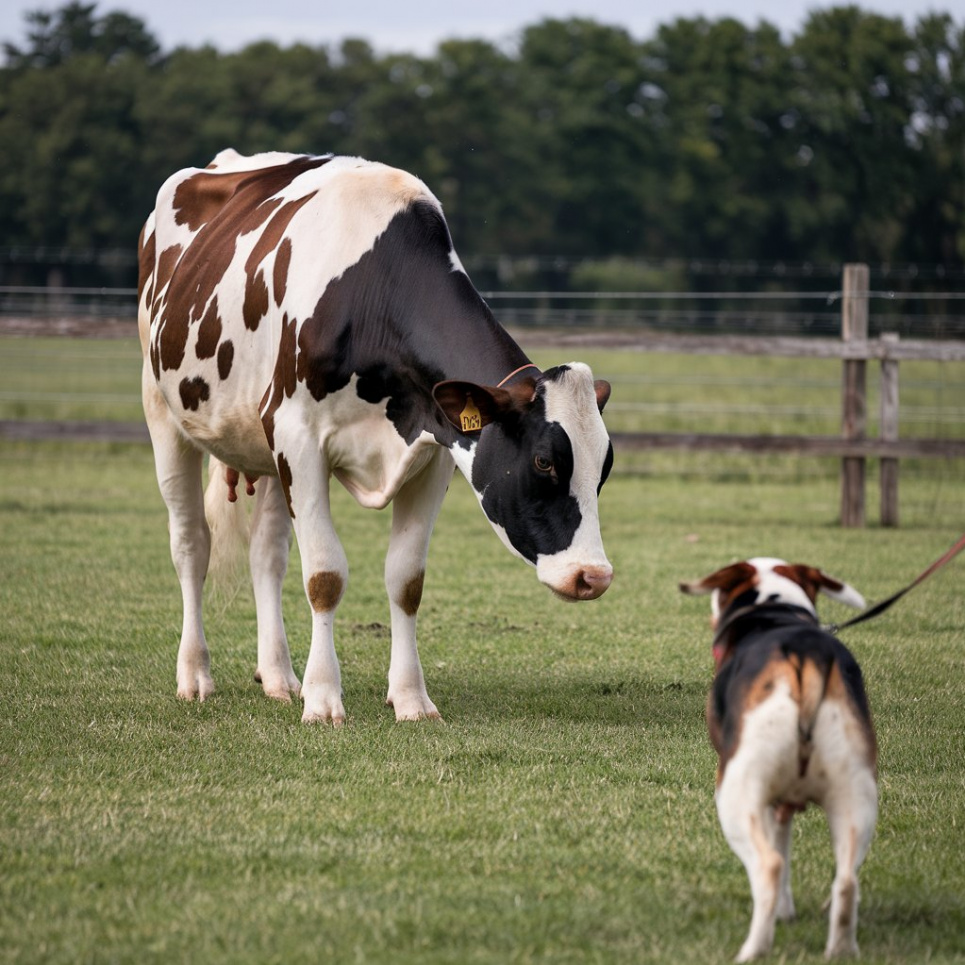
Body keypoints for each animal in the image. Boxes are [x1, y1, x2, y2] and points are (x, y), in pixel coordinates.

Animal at [137, 151, 612, 724]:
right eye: (544, 461)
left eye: (604, 468)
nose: (594, 576)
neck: (372, 293)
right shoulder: (298, 436)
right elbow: (324, 576)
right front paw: (323, 700)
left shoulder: (433, 451)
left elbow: (406, 580)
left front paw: (410, 699)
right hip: (164, 414)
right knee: (191, 545)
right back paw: (196, 674)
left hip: (265, 447)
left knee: (266, 556)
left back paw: (278, 677)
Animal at [680, 556, 876, 956]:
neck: (777, 611)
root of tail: (809, 656)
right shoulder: (783, 801)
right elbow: (786, 849)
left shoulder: (764, 799)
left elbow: (779, 856)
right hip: (855, 794)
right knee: (847, 880)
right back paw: (841, 952)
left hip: (735, 792)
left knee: (768, 865)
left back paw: (751, 952)